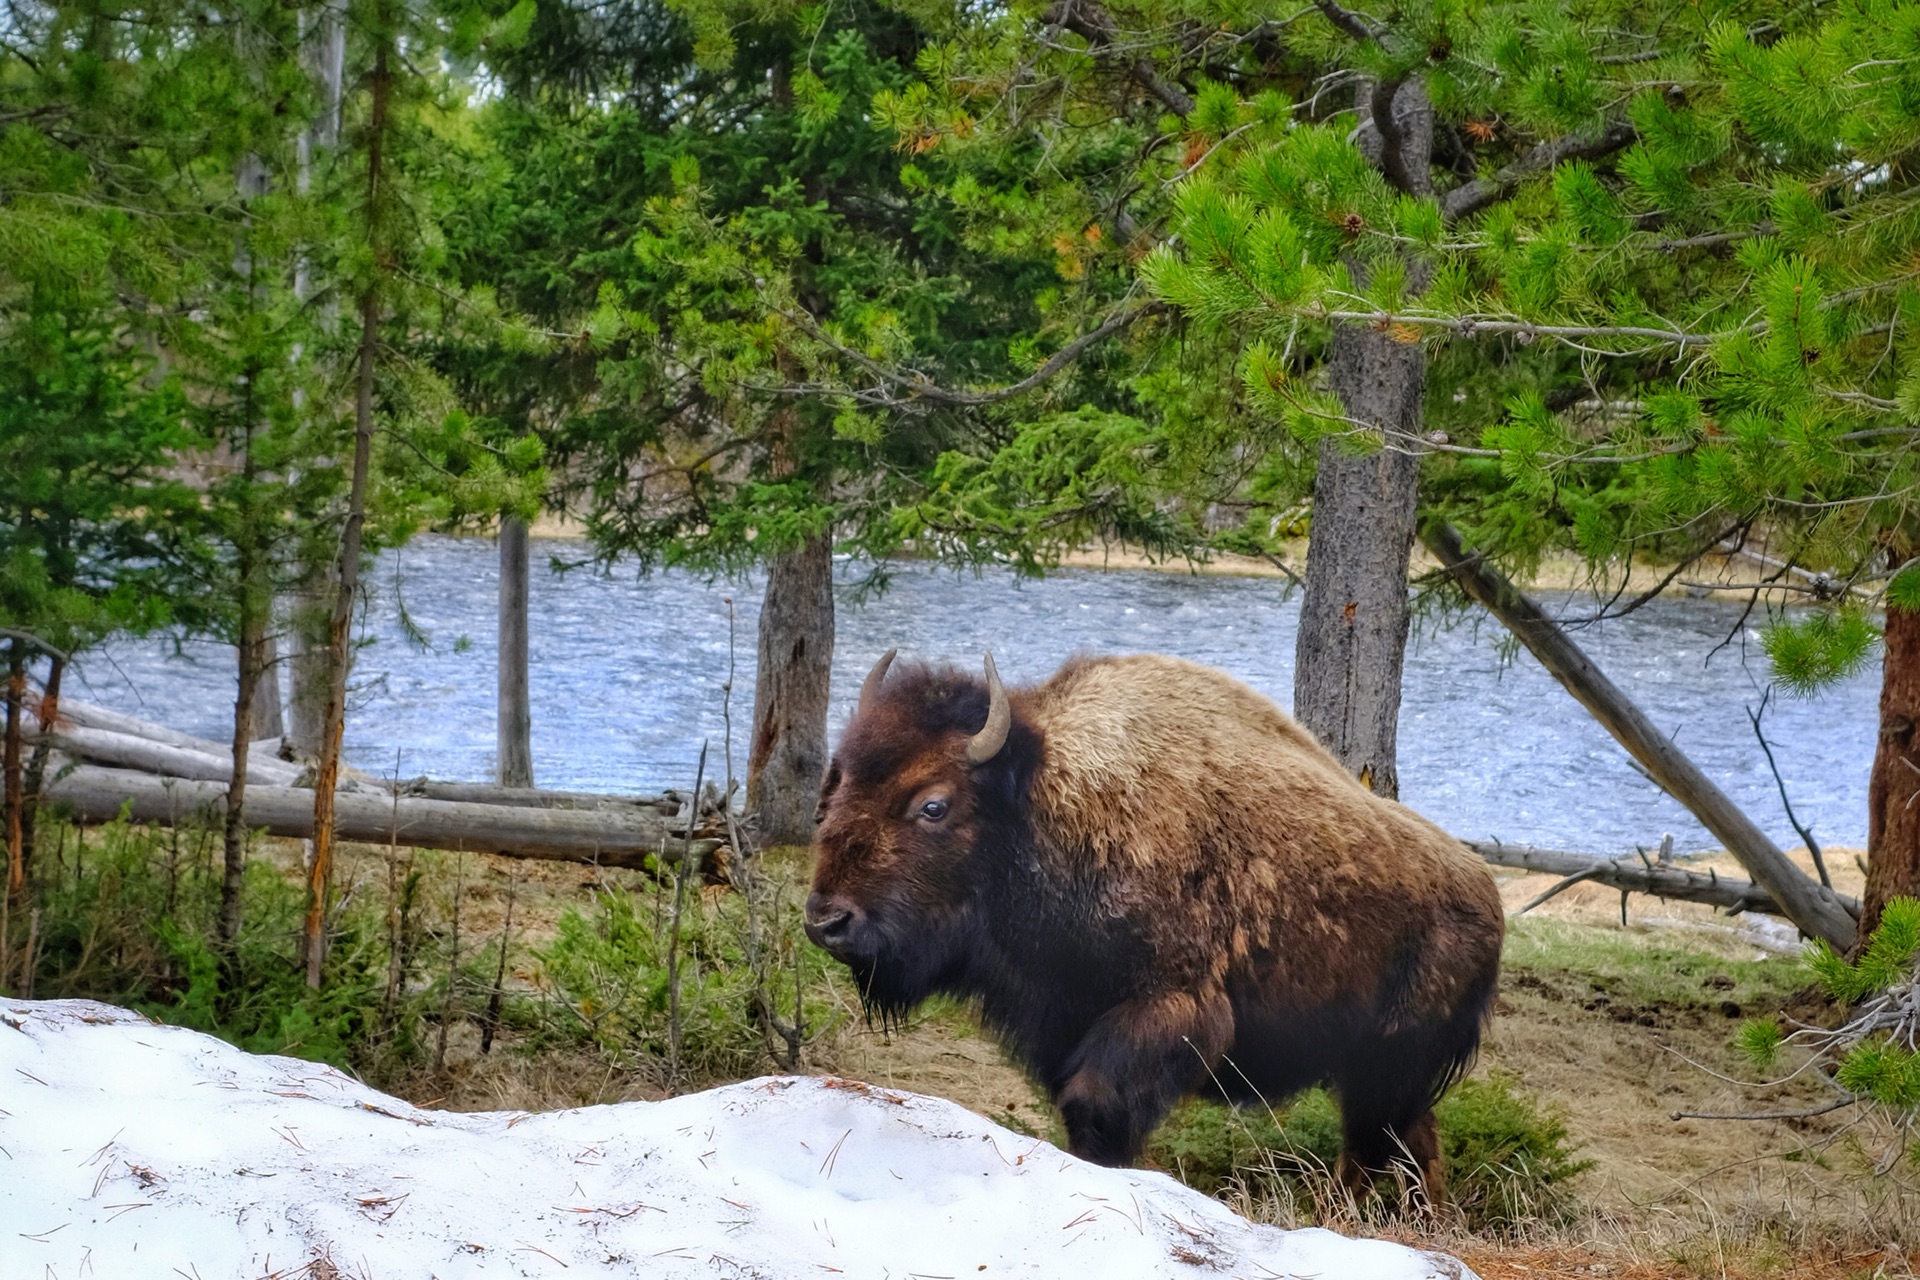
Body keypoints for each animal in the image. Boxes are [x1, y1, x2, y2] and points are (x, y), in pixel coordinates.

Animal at [802, 656, 1505, 1205]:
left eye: (933, 804)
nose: (827, 920)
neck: (1046, 807)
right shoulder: (1062, 1019)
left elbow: (1095, 1105)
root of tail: (1486, 893)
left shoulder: (1166, 1009)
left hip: (1386, 1065)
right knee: (1413, 1142)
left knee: (1374, 1145)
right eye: (837, 782)